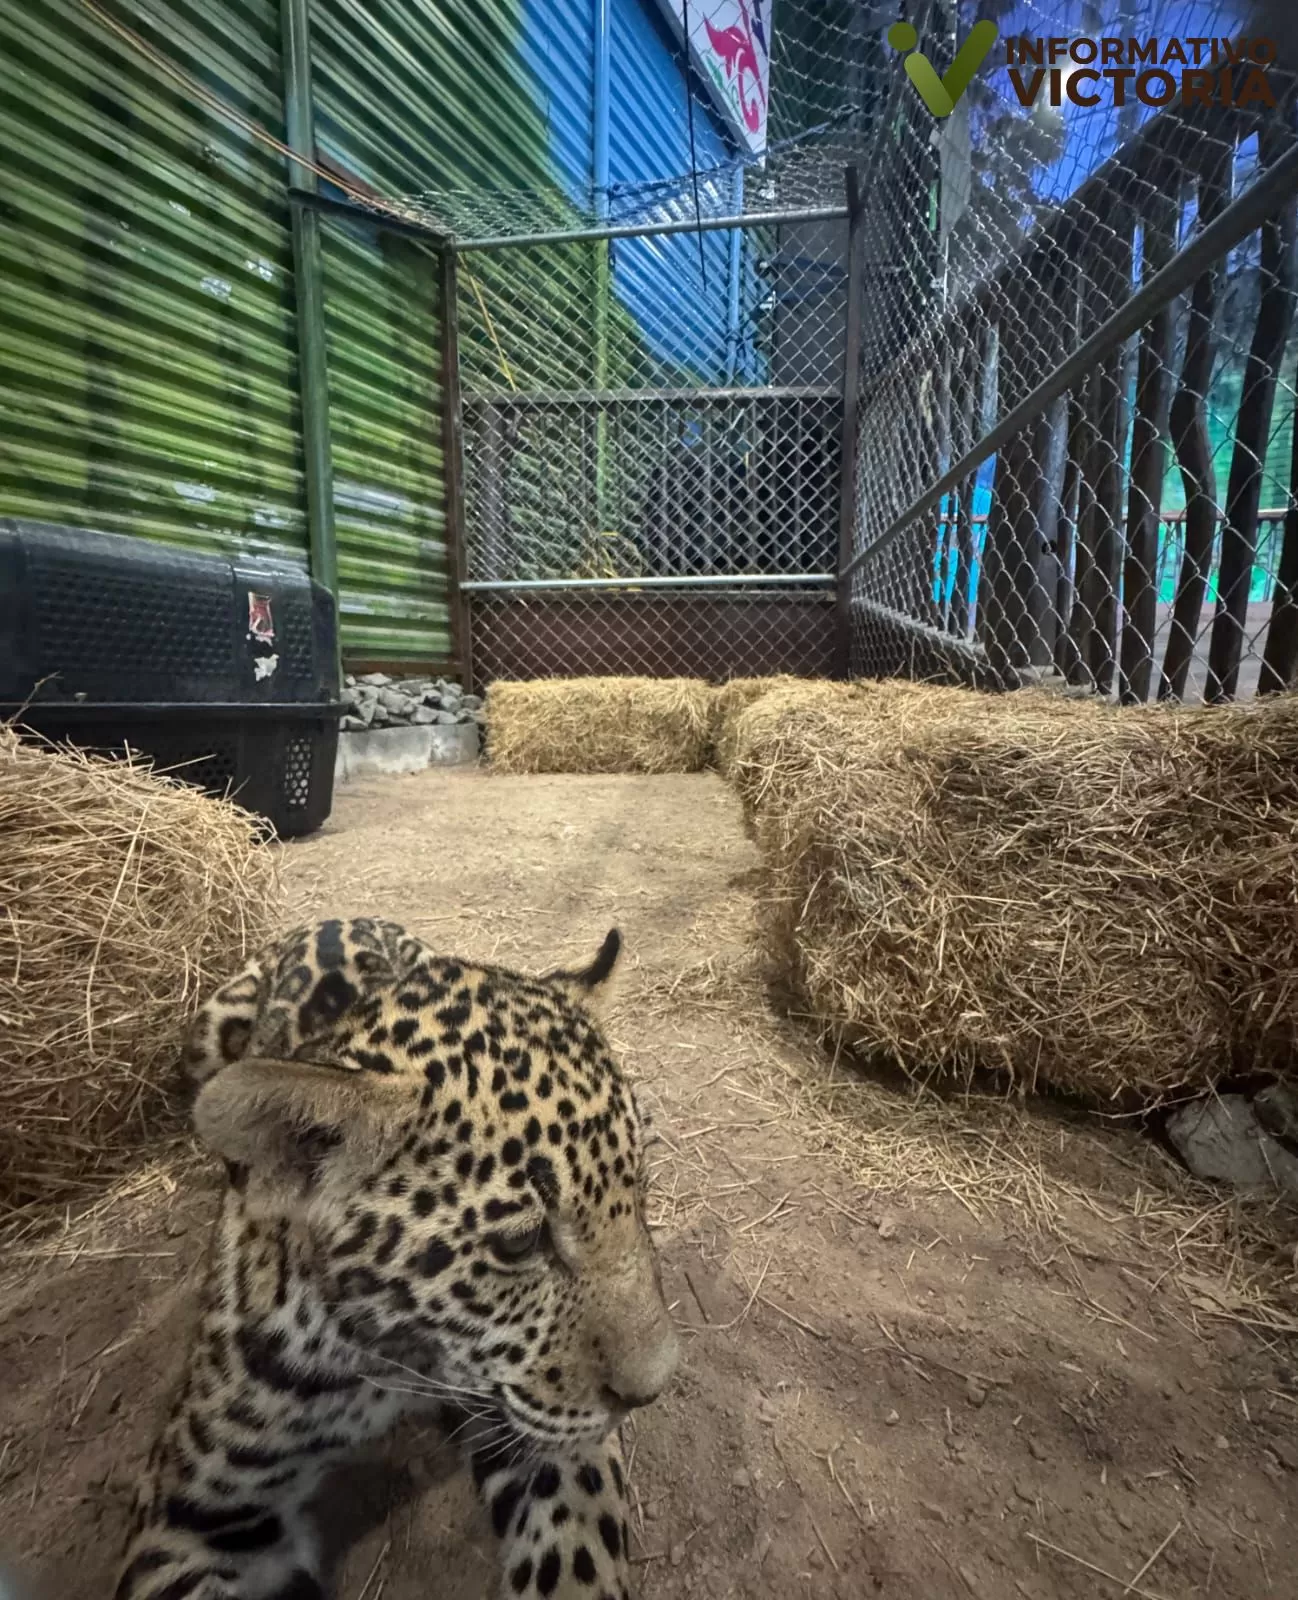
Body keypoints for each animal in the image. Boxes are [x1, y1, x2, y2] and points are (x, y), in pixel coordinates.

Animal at [113, 915, 679, 1600]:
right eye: (519, 1243)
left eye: (639, 1187)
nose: (653, 1390)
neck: (390, 1354)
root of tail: (333, 918)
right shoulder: (189, 1515)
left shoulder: (543, 1426)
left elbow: (574, 1561)